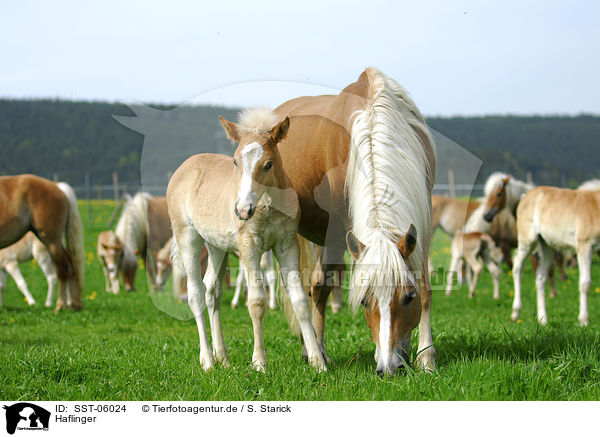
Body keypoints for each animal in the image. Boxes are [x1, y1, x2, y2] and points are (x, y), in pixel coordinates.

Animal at [0, 174, 85, 310]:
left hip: (51, 241)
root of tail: (56, 186)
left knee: (62, 270)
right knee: (71, 267)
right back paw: (74, 304)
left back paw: (60, 305)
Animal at [168, 107, 328, 370]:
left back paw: (222, 357)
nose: (243, 210)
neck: (268, 206)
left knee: (212, 291)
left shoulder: (287, 246)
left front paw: (317, 361)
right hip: (188, 238)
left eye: (269, 164)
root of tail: (185, 166)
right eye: (235, 161)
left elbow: (300, 301)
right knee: (196, 293)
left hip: (216, 246)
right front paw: (259, 361)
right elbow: (256, 303)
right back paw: (207, 360)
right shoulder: (250, 248)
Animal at [510, 186, 600, 326]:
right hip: (528, 241)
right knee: (517, 268)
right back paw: (515, 313)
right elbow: (585, 283)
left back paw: (543, 319)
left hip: (547, 246)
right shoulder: (585, 246)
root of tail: (525, 196)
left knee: (540, 277)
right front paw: (583, 320)